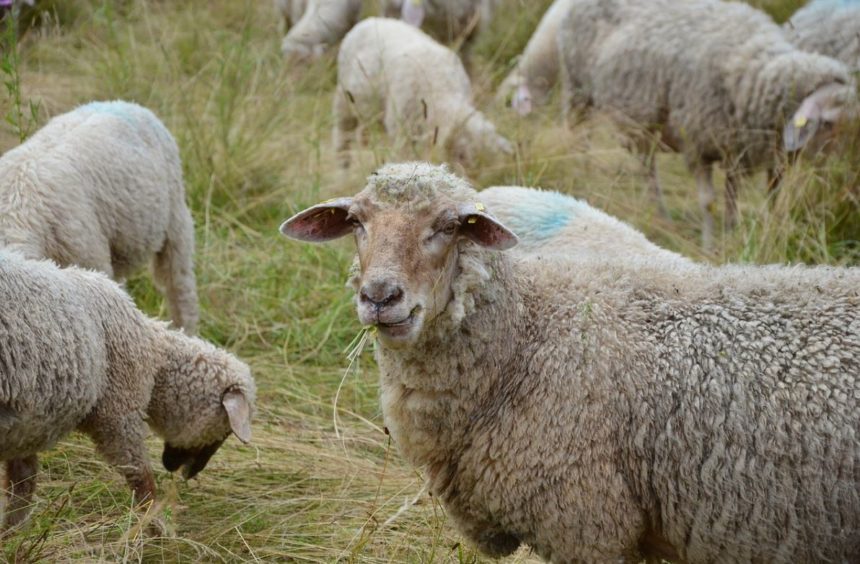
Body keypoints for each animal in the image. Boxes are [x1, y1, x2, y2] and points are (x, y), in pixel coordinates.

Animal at [0, 251, 255, 532]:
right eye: (225, 430)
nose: (189, 474)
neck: (155, 357)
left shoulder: (27, 426)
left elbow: (22, 486)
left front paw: (11, 533)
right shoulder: (119, 414)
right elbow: (141, 478)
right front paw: (155, 528)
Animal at [334, 16, 510, 169]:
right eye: (462, 157)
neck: (441, 91)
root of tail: (372, 19)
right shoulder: (401, 131)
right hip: (344, 99)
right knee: (342, 133)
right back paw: (343, 165)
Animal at [560, 0, 856, 249]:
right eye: (828, 122)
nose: (845, 177)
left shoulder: (744, 150)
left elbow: (744, 198)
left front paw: (738, 233)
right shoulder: (697, 145)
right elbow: (709, 202)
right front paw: (710, 245)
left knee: (647, 168)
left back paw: (660, 215)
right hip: (577, 90)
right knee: (580, 137)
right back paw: (581, 173)